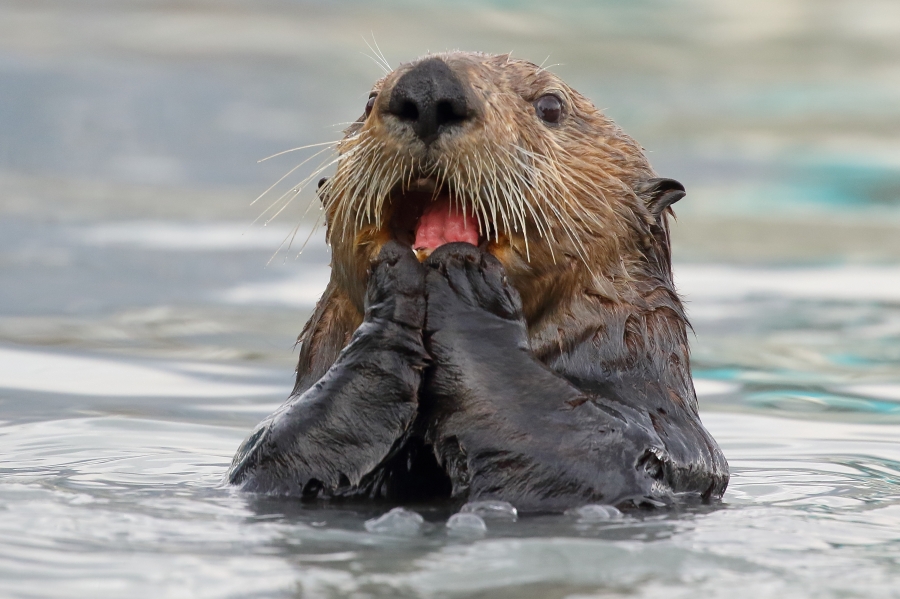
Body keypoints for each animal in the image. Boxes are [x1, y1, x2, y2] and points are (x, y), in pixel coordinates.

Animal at [227, 52, 729, 511]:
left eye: (551, 106)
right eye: (367, 100)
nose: (429, 89)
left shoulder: (669, 437)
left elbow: (585, 452)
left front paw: (464, 279)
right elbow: (279, 459)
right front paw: (393, 285)